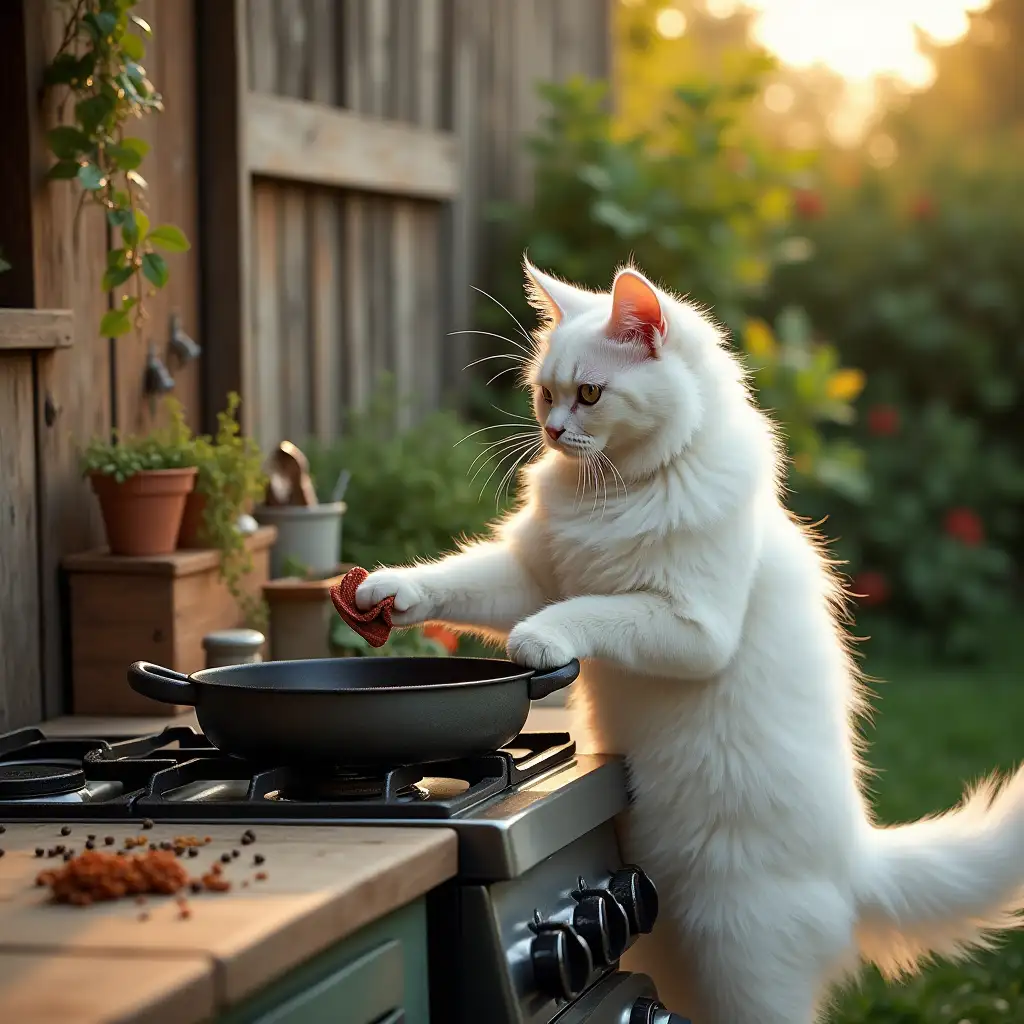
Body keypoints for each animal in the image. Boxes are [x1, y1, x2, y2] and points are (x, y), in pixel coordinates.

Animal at [356, 260, 1024, 1019]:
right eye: (546, 393)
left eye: (588, 394)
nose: (552, 430)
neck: (614, 491)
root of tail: (856, 862)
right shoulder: (532, 574)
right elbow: (457, 581)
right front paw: (384, 592)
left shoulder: (689, 625)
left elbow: (592, 610)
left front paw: (537, 642)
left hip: (742, 961)